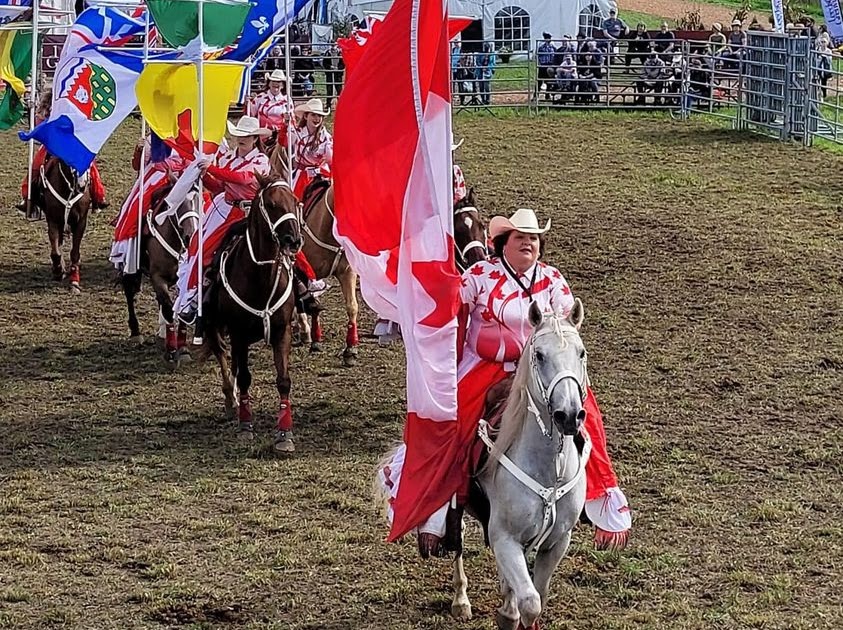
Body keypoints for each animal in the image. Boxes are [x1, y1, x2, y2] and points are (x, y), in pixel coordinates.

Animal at [38, 156, 92, 294]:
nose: (82, 185)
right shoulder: (53, 220)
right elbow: (55, 250)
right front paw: (58, 270)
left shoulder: (81, 222)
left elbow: (74, 253)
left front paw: (74, 282)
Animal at [119, 180, 202, 362]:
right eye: (177, 202)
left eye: (199, 200)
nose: (190, 236)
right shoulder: (157, 277)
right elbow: (168, 308)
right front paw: (171, 351)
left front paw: (183, 348)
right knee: (129, 292)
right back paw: (136, 332)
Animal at [201, 177, 304, 454]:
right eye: (272, 204)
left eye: (295, 200)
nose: (293, 240)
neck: (261, 279)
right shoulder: (239, 333)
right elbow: (245, 377)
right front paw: (245, 426)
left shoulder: (282, 331)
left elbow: (283, 379)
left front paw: (284, 434)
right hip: (215, 327)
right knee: (223, 357)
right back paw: (231, 400)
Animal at [298, 178, 362, 366]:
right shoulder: (305, 272)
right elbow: (311, 302)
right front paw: (314, 338)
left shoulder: (347, 272)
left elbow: (352, 306)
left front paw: (351, 349)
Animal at [452, 302, 592, 630]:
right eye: (539, 355)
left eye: (581, 352)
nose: (569, 415)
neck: (549, 471)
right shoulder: (504, 538)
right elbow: (530, 602)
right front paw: (509, 612)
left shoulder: (558, 542)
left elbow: (539, 593)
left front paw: (509, 605)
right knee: (457, 537)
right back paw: (461, 599)